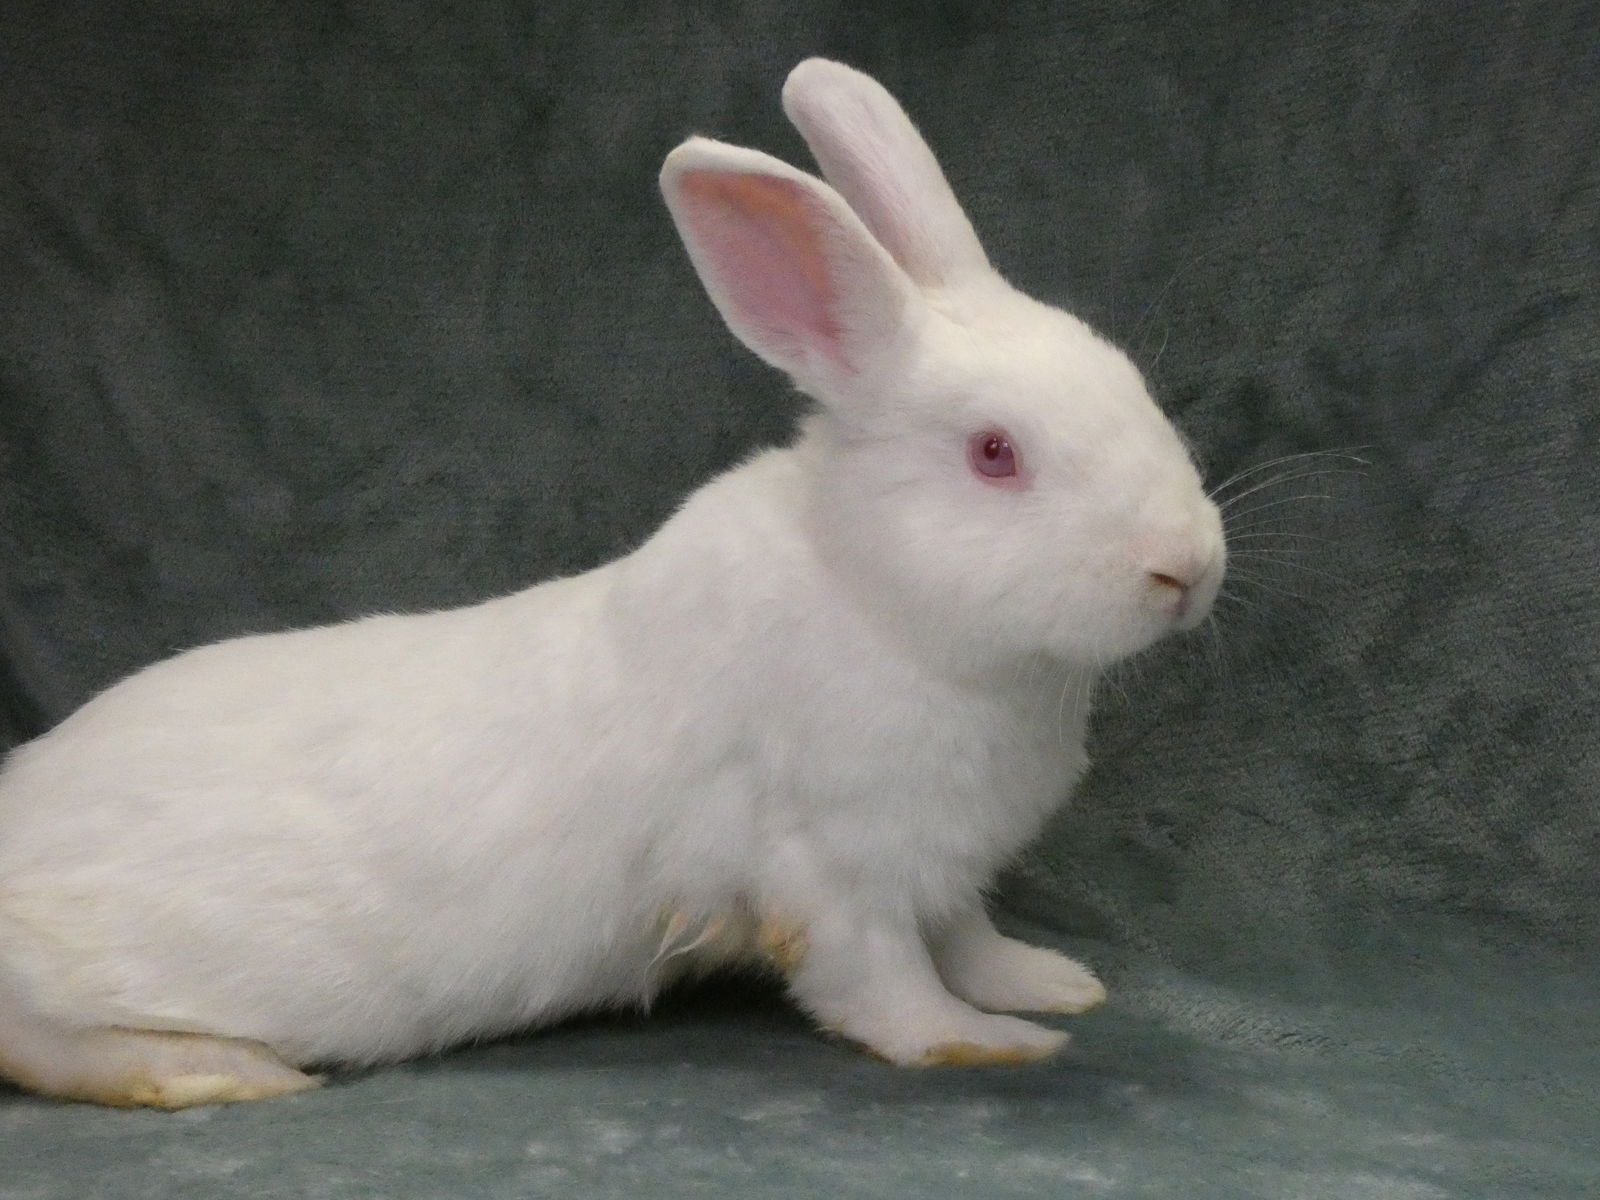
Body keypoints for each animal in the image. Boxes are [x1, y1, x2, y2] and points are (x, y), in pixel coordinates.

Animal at [0, 56, 1222, 1107]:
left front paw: (1049, 984)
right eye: (994, 454)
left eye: (1129, 382)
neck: (880, 601)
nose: (1189, 566)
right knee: (45, 1043)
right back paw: (216, 1072)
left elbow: (968, 938)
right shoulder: (831, 865)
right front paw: (989, 1044)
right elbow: (881, 985)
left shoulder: (947, 868)